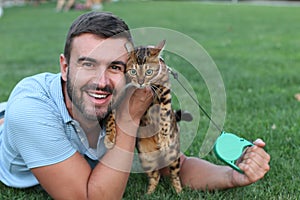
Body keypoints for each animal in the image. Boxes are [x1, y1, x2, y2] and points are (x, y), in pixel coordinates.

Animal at [105, 39, 184, 195]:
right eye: (133, 71)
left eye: (149, 72)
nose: (141, 82)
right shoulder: (118, 94)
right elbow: (110, 118)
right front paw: (110, 138)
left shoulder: (165, 92)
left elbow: (164, 116)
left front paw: (164, 138)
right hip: (146, 158)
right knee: (155, 176)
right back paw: (148, 193)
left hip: (173, 155)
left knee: (175, 175)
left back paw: (179, 192)